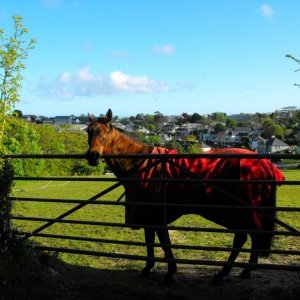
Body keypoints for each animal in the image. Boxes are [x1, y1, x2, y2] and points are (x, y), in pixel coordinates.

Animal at [85, 109, 284, 282]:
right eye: (89, 131)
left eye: (106, 132)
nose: (92, 156)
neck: (143, 164)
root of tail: (263, 163)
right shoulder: (149, 216)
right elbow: (150, 241)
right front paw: (148, 268)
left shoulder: (157, 215)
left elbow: (164, 242)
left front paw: (170, 272)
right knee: (248, 237)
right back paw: (240, 271)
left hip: (242, 212)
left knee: (245, 237)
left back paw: (226, 273)